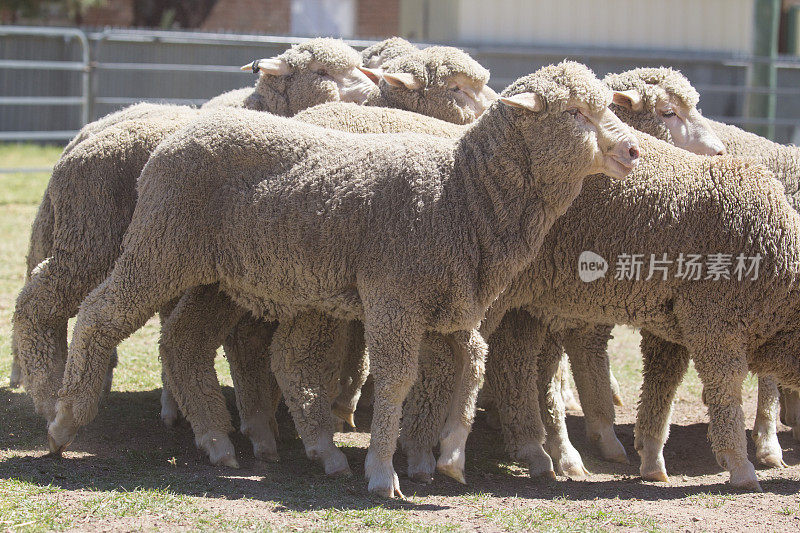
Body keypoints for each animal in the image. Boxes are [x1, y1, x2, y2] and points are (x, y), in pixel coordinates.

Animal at [10, 39, 376, 432]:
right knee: (40, 300)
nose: (373, 91)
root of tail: (76, 148)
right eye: (322, 71)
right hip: (95, 238)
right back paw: (50, 396)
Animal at [47, 62, 640, 498]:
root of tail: (177, 135)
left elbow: (473, 364)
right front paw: (383, 472)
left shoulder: (451, 303)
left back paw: (219, 441)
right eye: (574, 112)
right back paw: (64, 419)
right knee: (100, 313)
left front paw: (450, 453)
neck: (460, 191)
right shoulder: (393, 296)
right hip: (160, 247)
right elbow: (398, 383)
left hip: (215, 275)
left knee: (183, 341)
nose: (633, 151)